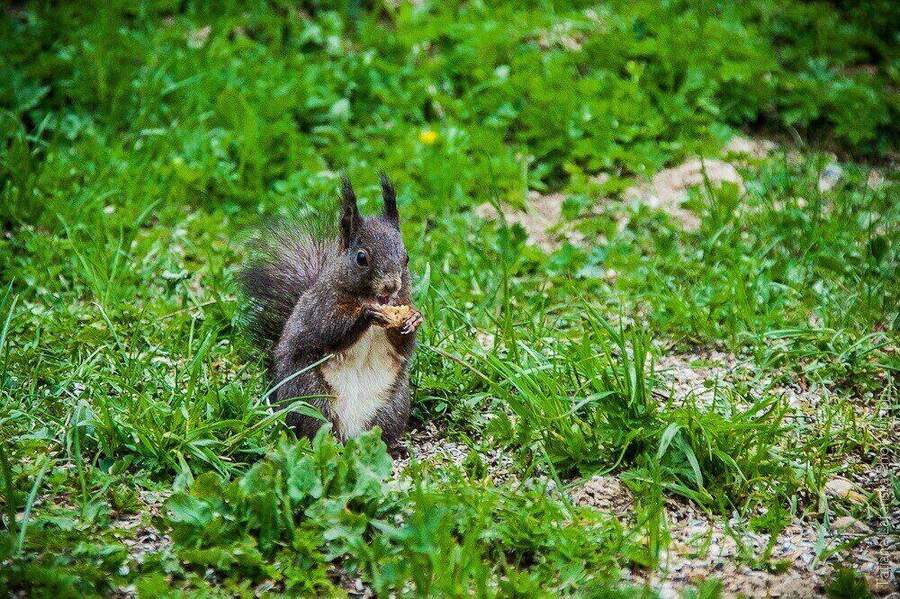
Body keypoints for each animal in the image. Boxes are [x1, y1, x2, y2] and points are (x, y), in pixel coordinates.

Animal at [240, 174, 423, 446]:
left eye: (406, 257)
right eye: (361, 258)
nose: (392, 286)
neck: (369, 298)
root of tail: (350, 434)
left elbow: (404, 346)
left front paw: (413, 320)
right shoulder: (321, 306)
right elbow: (330, 331)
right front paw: (366, 315)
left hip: (393, 407)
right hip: (309, 396)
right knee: (314, 429)